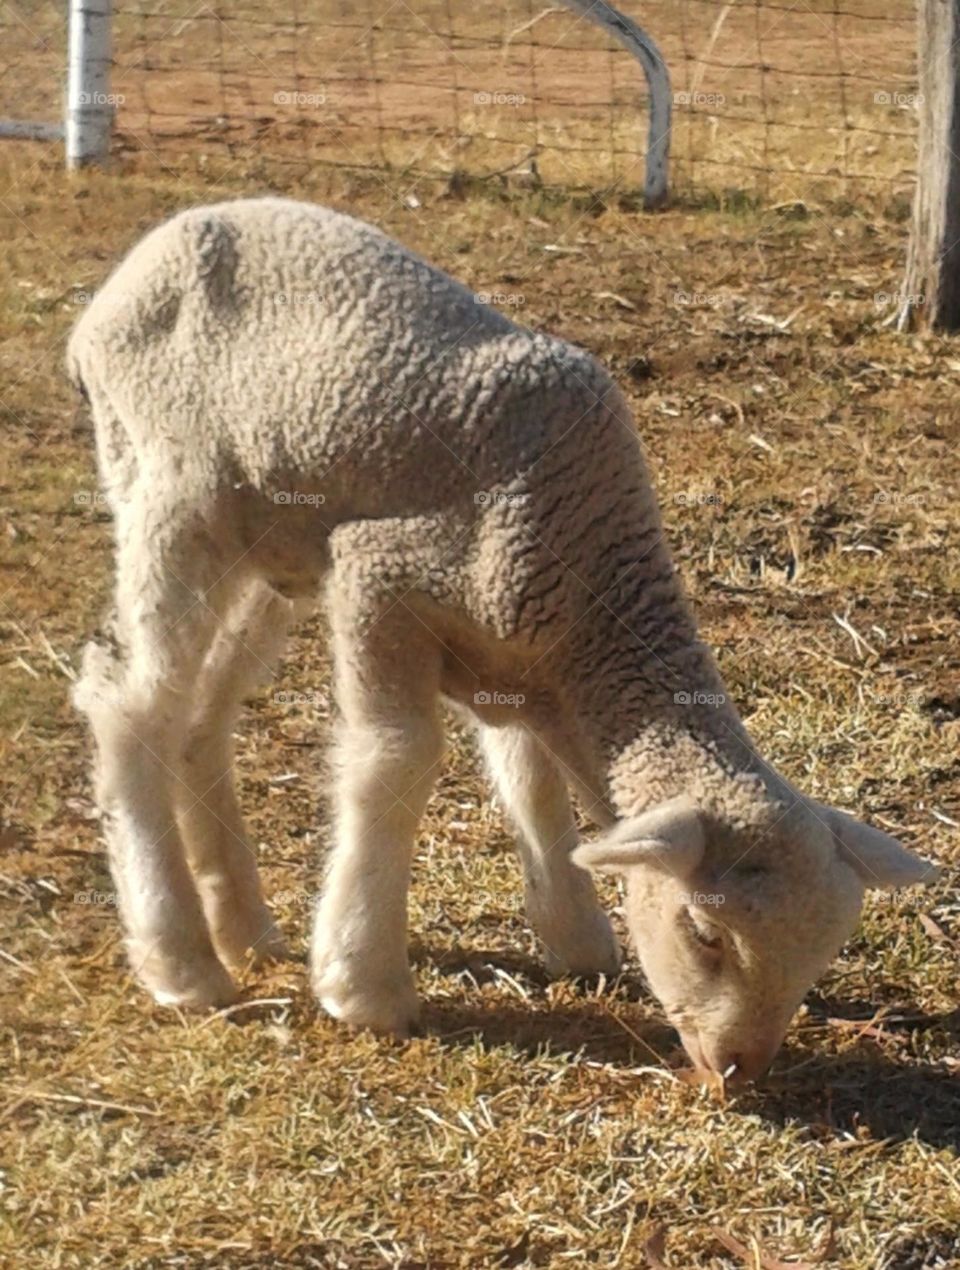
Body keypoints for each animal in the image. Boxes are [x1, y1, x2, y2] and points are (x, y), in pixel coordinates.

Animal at [69, 196, 938, 1083]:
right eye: (705, 933)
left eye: (823, 955)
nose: (738, 1068)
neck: (590, 591)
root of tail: (143, 260)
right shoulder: (380, 574)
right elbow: (394, 761)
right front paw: (363, 987)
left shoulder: (513, 661)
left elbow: (531, 781)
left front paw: (575, 936)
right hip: (174, 490)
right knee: (127, 700)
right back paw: (182, 961)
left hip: (271, 546)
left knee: (202, 714)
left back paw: (244, 928)